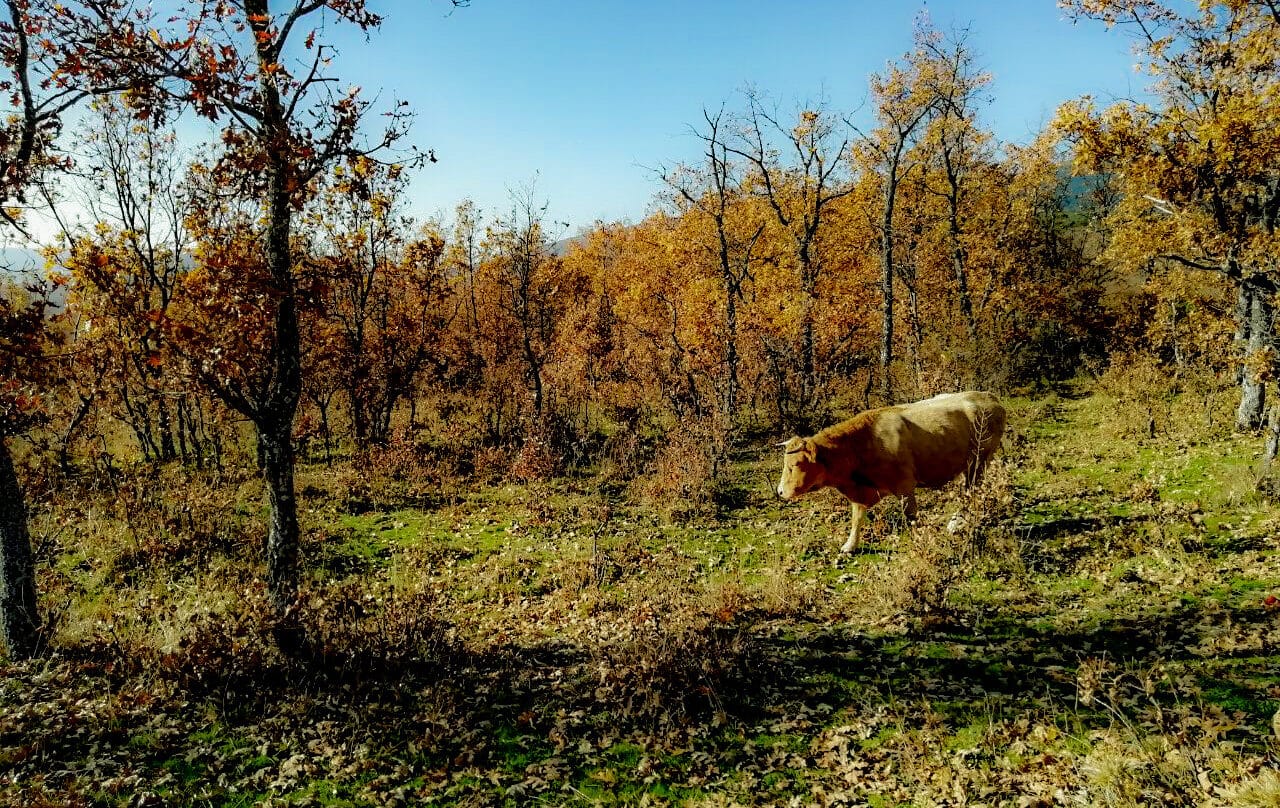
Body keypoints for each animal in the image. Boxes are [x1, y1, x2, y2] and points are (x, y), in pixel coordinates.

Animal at [773, 391, 1003, 555]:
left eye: (795, 464)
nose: (780, 491)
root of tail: (988, 397)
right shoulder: (861, 492)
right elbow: (857, 519)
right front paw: (850, 545)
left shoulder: (905, 486)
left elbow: (912, 517)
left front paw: (921, 540)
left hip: (979, 462)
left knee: (971, 492)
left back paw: (957, 522)